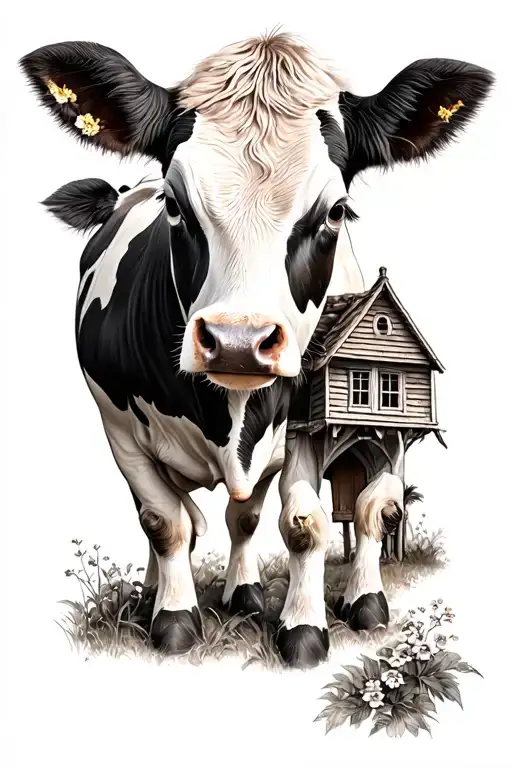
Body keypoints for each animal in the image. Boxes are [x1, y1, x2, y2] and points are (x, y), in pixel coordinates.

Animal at [20, 32, 493, 668]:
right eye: (174, 203)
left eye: (337, 211)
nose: (238, 343)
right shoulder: (117, 424)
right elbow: (163, 521)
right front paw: (174, 619)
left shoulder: (311, 423)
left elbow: (306, 522)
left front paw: (314, 622)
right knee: (178, 517)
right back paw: (149, 596)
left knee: (249, 516)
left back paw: (244, 593)